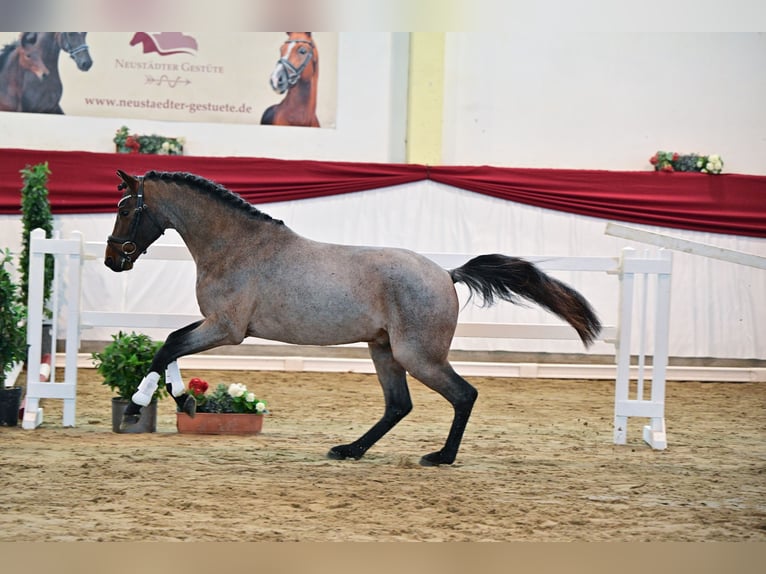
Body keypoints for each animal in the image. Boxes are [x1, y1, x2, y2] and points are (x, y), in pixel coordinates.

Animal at [105, 171, 604, 468]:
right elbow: (170, 343)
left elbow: (168, 345)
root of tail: (446, 273)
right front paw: (183, 399)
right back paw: (350, 450)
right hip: (383, 350)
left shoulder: (226, 329)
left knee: (463, 395)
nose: (113, 260)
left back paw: (439, 457)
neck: (239, 247)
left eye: (126, 209)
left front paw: (138, 405)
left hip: (418, 355)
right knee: (398, 405)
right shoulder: (214, 325)